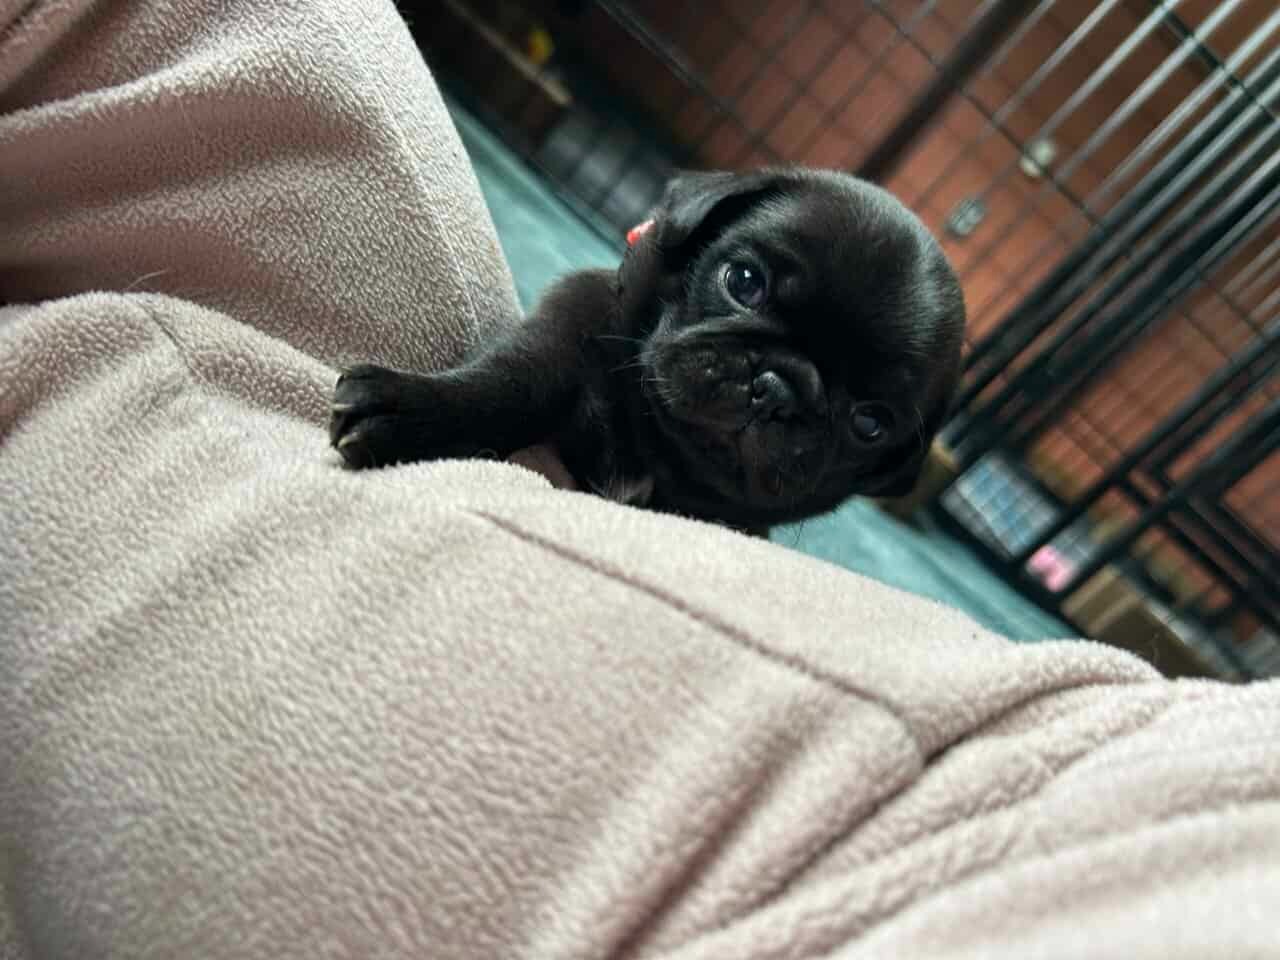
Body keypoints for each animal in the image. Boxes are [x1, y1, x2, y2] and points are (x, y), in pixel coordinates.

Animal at [329, 167, 965, 536]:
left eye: (870, 424)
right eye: (744, 281)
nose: (776, 388)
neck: (657, 445)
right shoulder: (568, 327)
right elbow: (509, 380)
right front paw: (413, 409)